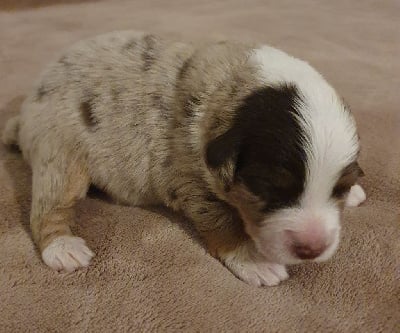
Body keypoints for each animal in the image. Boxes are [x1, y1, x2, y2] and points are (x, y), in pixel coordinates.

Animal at [2, 31, 366, 286]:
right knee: (50, 205)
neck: (229, 93)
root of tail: (26, 111)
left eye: (339, 187)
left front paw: (356, 194)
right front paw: (254, 261)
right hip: (60, 150)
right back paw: (62, 247)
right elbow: (223, 221)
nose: (312, 249)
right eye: (268, 188)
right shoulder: (189, 180)